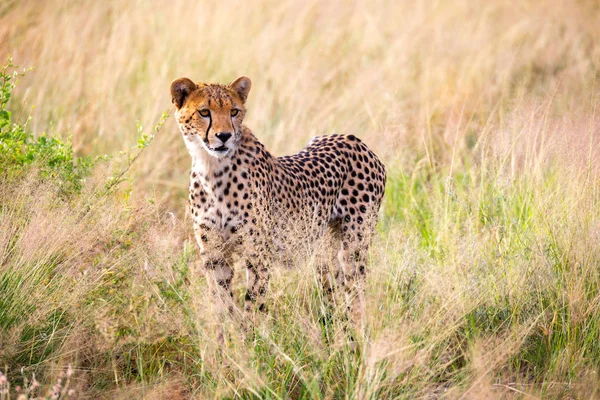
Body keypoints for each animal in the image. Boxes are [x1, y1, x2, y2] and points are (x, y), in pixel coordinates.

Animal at [170, 76, 384, 324]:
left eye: (234, 111)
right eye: (204, 112)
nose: (224, 136)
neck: (212, 167)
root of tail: (354, 140)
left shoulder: (258, 255)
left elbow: (252, 306)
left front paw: (249, 335)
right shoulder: (214, 255)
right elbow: (221, 305)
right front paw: (224, 334)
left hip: (354, 246)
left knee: (356, 293)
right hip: (323, 250)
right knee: (333, 289)